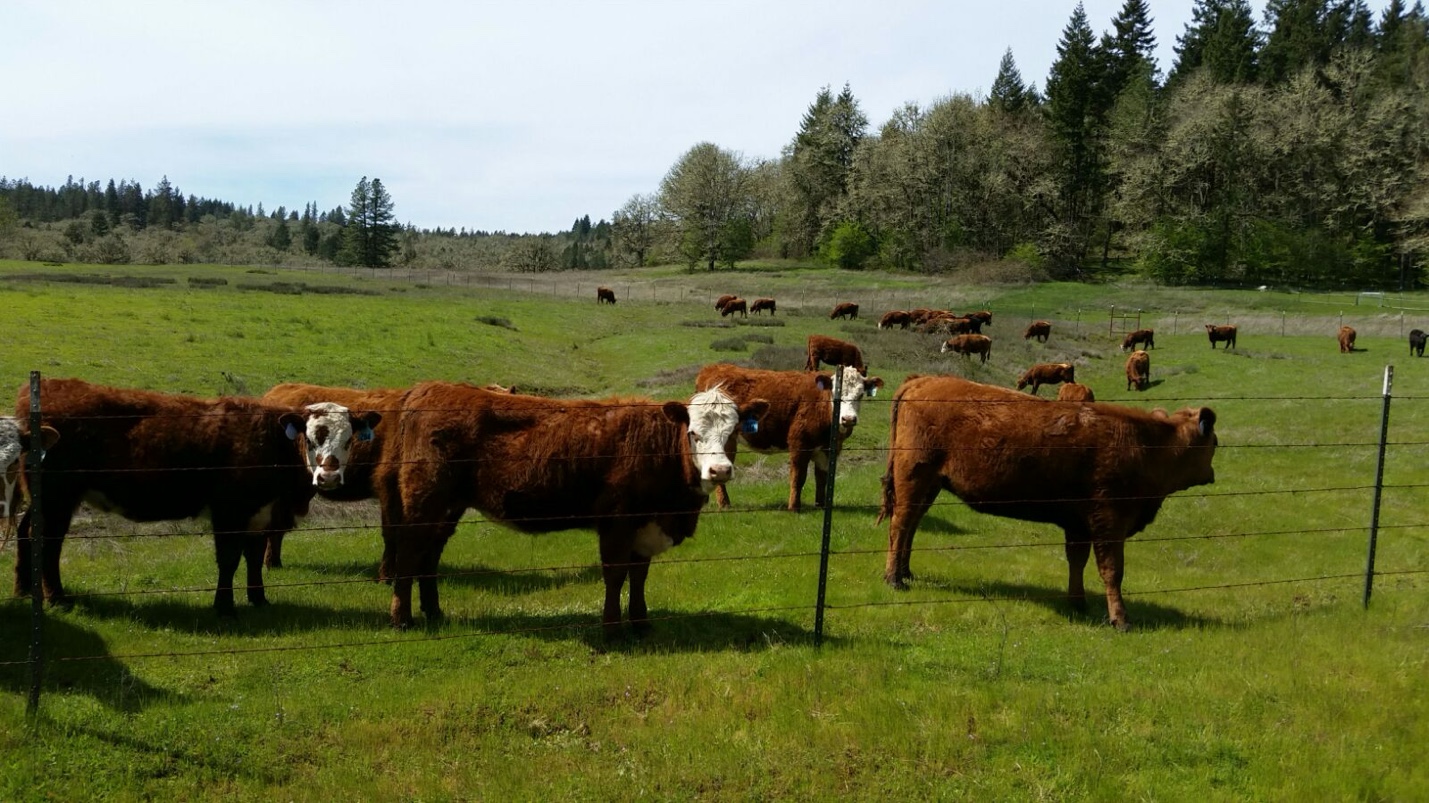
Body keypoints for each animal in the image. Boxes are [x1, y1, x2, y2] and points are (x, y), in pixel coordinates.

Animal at [12, 378, 380, 615]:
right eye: (312, 437)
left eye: (349, 440)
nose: (329, 477)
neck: (270, 442)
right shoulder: (229, 511)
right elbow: (229, 558)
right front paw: (224, 605)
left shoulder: (260, 512)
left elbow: (253, 556)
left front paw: (258, 598)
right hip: (59, 498)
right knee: (47, 542)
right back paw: (56, 597)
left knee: (26, 532)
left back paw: (23, 590)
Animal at [381, 383, 768, 633]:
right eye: (693, 433)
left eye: (733, 432)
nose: (719, 470)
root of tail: (427, 389)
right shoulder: (617, 521)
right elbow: (615, 573)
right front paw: (612, 629)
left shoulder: (644, 525)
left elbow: (639, 574)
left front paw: (640, 623)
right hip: (423, 498)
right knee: (409, 552)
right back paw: (402, 619)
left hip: (448, 506)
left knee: (430, 554)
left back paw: (434, 612)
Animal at [695, 364, 883, 512]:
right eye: (836, 394)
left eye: (860, 394)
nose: (848, 419)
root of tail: (713, 368)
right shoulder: (800, 444)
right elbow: (798, 477)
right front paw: (794, 507)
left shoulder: (829, 450)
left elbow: (822, 478)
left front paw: (821, 505)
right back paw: (724, 504)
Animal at [878, 374, 1218, 630]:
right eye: (1213, 442)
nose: (1213, 473)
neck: (1148, 444)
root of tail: (921, 381)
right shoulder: (1109, 523)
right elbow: (1112, 570)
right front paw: (1120, 619)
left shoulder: (1080, 525)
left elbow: (1077, 562)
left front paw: (1077, 603)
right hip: (914, 478)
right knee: (900, 524)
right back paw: (894, 580)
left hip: (930, 486)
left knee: (911, 525)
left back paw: (906, 573)